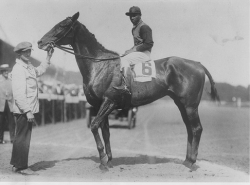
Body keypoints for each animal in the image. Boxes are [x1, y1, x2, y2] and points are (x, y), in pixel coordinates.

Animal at [37, 11, 219, 171]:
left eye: (62, 25)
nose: (40, 42)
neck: (99, 64)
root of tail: (197, 64)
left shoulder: (109, 101)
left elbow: (95, 126)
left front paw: (103, 161)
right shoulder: (99, 105)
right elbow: (106, 131)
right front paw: (109, 161)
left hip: (190, 106)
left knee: (196, 129)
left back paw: (191, 162)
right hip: (182, 105)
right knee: (189, 129)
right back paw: (187, 160)